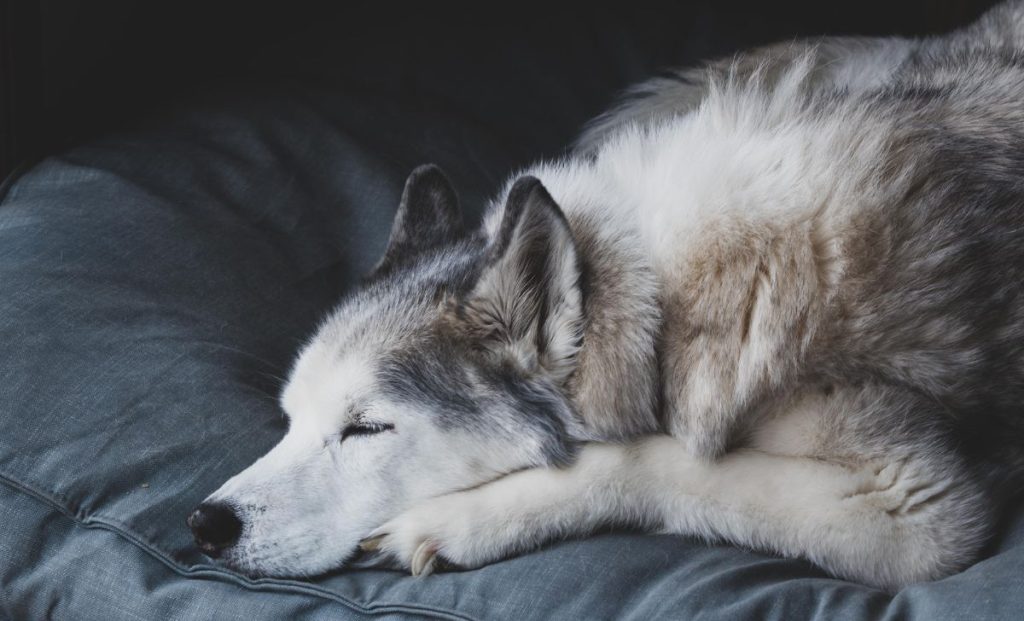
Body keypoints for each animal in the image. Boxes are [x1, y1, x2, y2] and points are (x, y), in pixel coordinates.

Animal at [186, 1, 1024, 594]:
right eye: (290, 419)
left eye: (366, 428)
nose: (204, 524)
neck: (662, 304)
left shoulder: (914, 507)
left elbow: (654, 463)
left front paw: (456, 520)